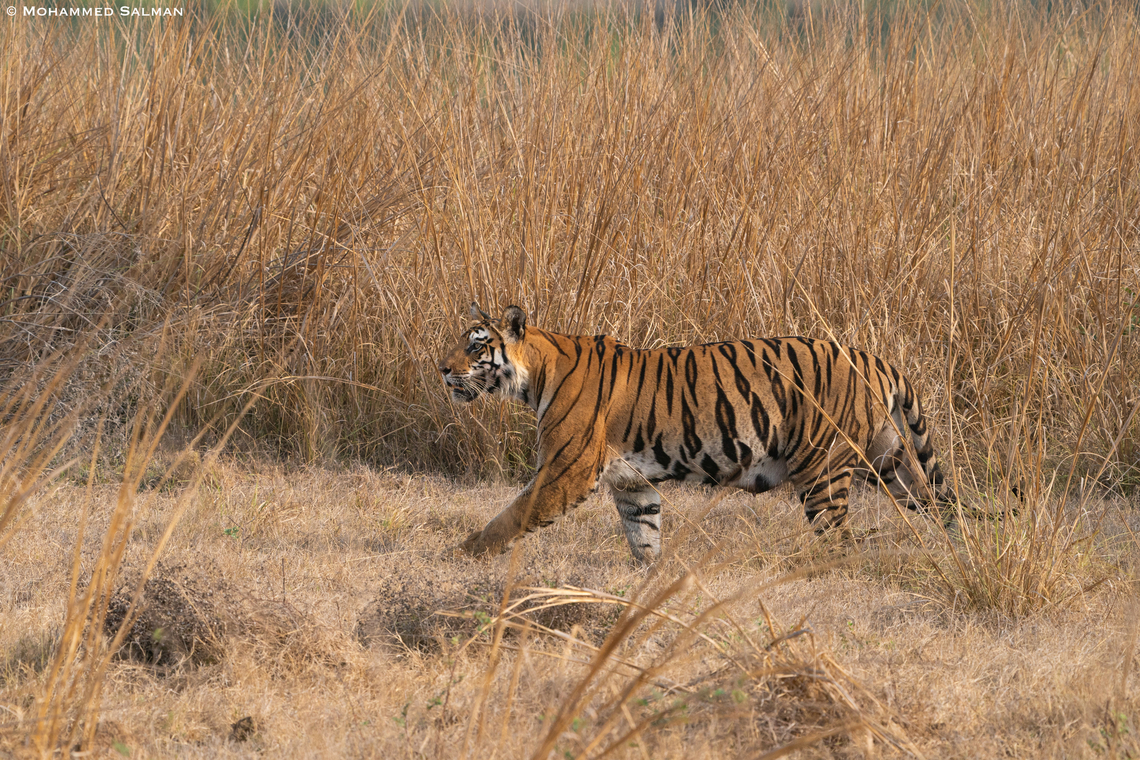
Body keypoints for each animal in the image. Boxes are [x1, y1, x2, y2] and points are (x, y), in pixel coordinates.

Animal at [438, 304, 955, 562]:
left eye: (475, 346)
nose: (441, 368)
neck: (535, 375)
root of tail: (876, 358)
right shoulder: (632, 482)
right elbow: (643, 533)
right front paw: (648, 578)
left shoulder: (567, 469)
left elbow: (510, 516)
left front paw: (463, 554)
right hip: (887, 459)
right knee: (934, 499)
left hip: (823, 470)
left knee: (841, 540)